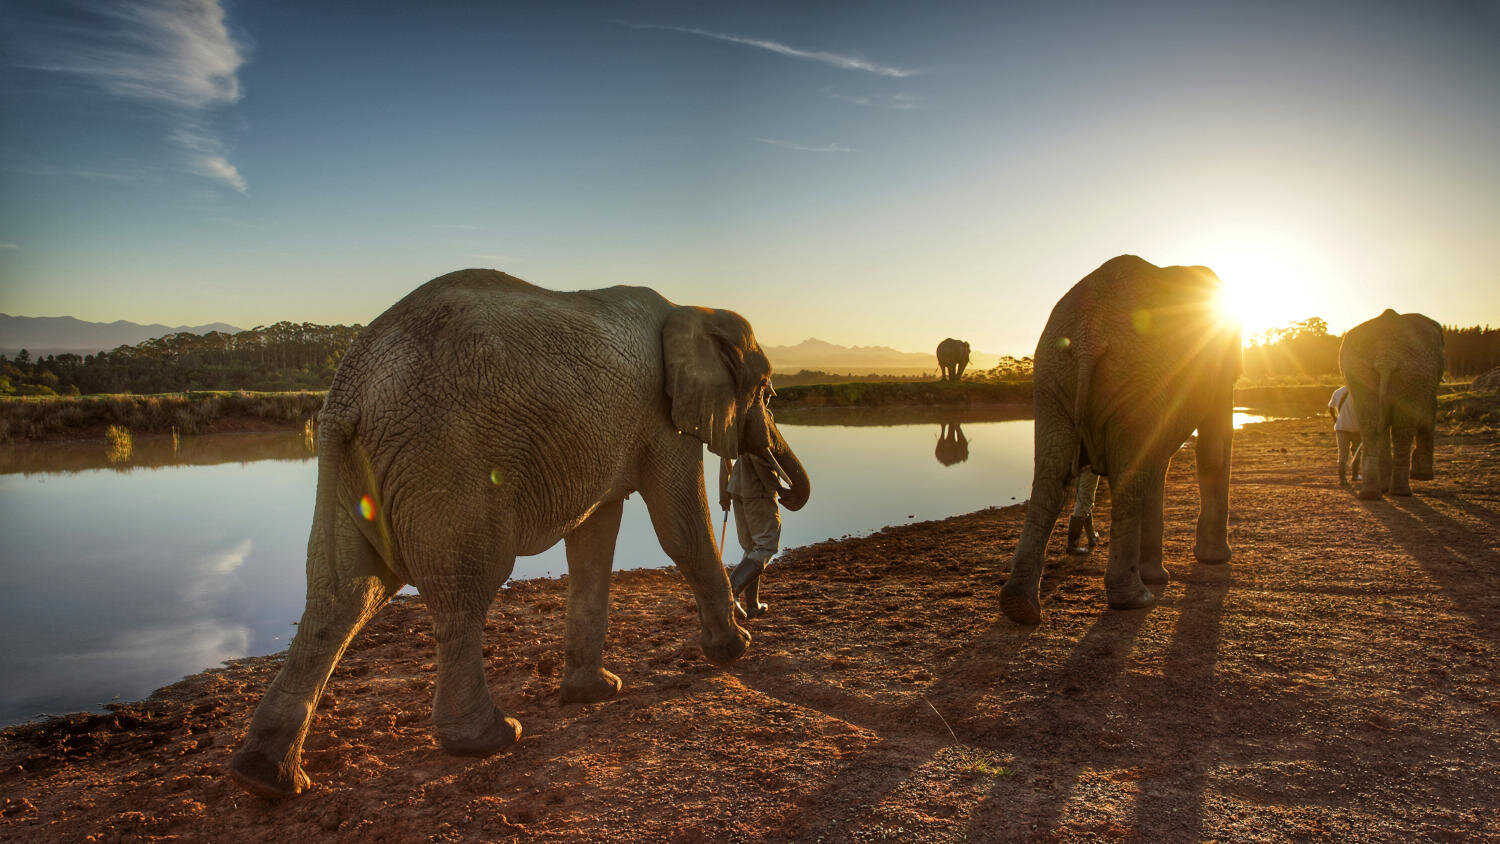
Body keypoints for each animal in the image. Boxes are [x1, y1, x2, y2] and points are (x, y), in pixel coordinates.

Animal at [226, 271, 810, 797]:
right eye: (767, 391)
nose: (777, 487)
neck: (691, 308)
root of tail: (349, 392)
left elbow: (595, 541)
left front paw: (595, 693)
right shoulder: (659, 417)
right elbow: (680, 527)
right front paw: (736, 649)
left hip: (348, 464)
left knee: (341, 594)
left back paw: (266, 780)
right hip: (443, 462)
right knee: (463, 588)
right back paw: (489, 739)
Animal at [996, 254, 1242, 623]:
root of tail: (1089, 333)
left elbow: (1158, 458)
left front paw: (1159, 576)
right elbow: (1212, 447)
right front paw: (1213, 560)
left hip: (1053, 374)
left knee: (1052, 476)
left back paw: (1019, 609)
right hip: (1130, 374)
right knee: (1128, 476)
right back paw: (1136, 600)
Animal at [1344, 308, 1446, 497]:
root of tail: (1386, 356)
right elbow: (1428, 414)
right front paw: (1423, 477)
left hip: (1359, 372)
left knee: (1370, 425)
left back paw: (1371, 494)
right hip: (1413, 373)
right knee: (1402, 428)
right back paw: (1400, 492)